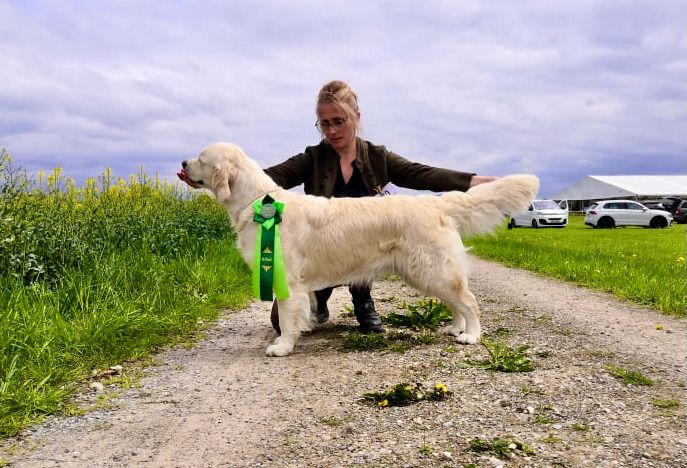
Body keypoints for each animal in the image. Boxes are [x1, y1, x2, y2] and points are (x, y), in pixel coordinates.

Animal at [180, 141, 540, 356]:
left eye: (201, 158)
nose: (183, 161)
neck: (257, 202)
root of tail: (435, 203)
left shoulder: (287, 278)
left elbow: (286, 315)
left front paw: (282, 346)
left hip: (433, 270)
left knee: (470, 302)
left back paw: (471, 335)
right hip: (428, 273)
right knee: (457, 303)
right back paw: (455, 328)